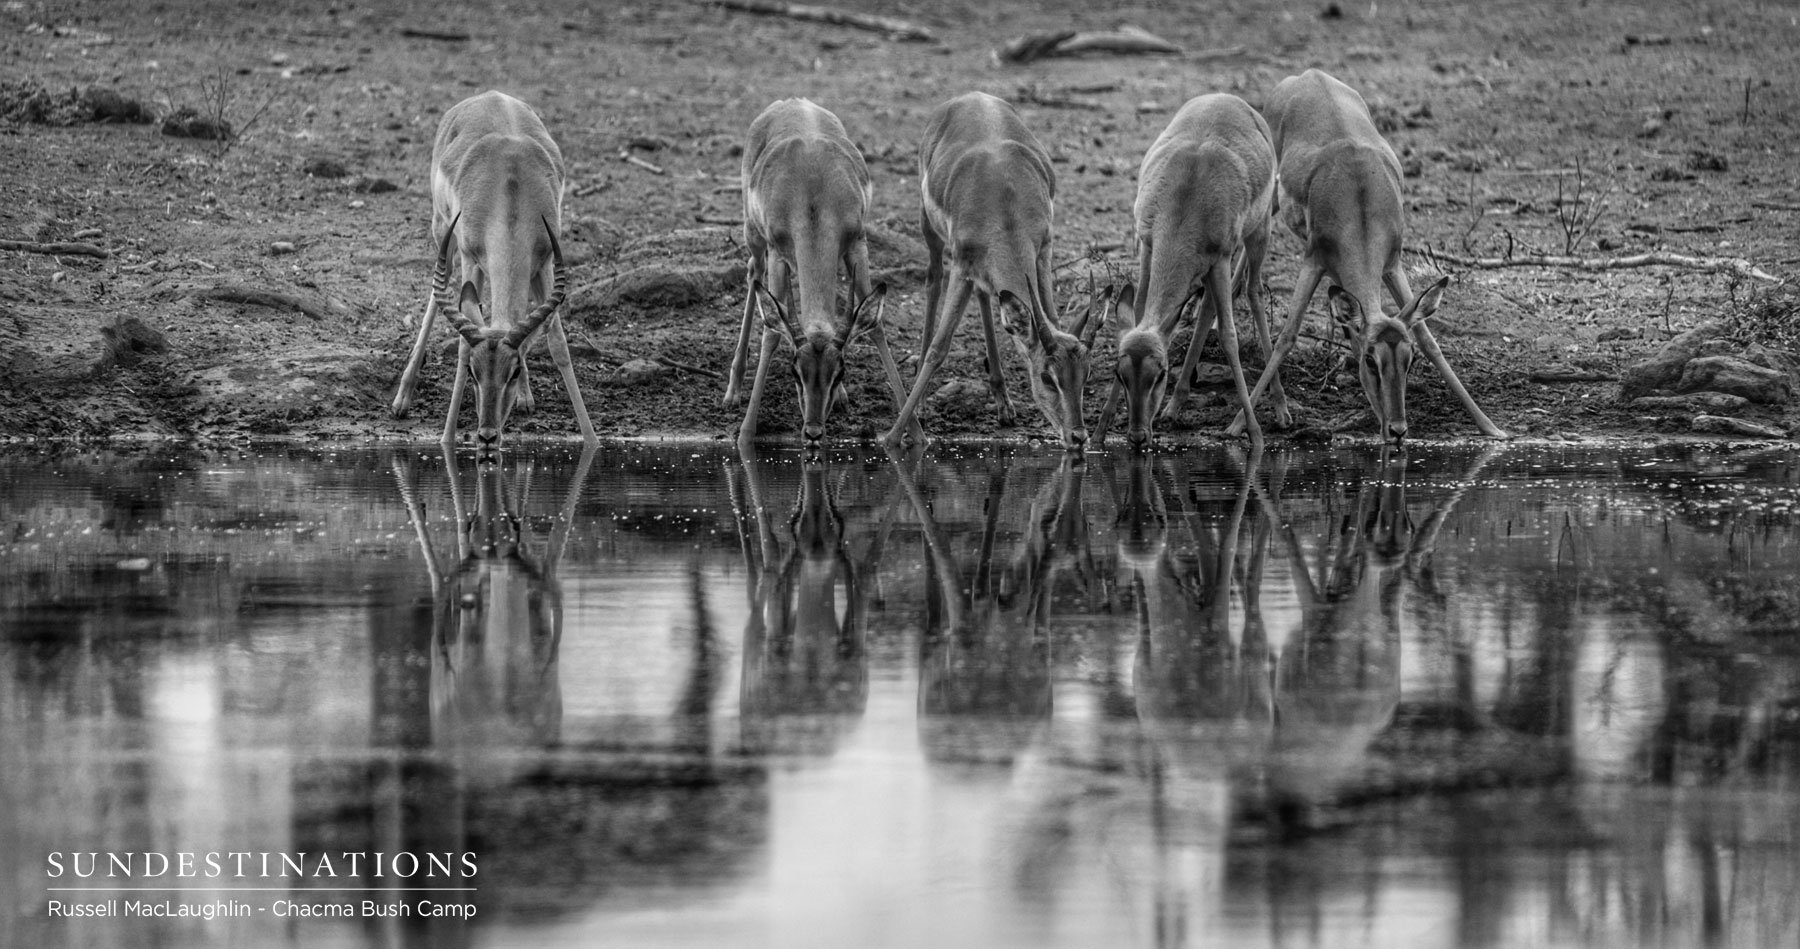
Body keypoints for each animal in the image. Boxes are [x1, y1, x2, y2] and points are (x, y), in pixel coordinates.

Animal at [390, 90, 596, 457]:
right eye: (473, 373)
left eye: (512, 372)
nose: (487, 436)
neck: (509, 192)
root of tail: (490, 95)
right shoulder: (471, 257)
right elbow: (461, 344)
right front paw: (446, 439)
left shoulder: (545, 261)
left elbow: (557, 344)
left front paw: (591, 439)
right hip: (443, 233)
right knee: (435, 293)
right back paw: (402, 398)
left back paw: (527, 399)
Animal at [725, 98, 911, 453]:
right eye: (795, 371)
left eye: (839, 371)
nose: (812, 433)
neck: (813, 197)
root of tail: (792, 101)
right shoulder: (778, 254)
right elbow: (772, 332)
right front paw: (745, 434)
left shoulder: (857, 244)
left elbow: (875, 324)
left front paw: (915, 433)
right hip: (754, 237)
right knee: (752, 277)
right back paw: (733, 391)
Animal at [883, 92, 1106, 452]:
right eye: (1047, 376)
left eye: (1086, 374)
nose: (1078, 436)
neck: (1004, 204)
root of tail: (970, 96)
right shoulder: (961, 265)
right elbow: (939, 348)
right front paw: (893, 438)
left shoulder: (1043, 251)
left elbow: (1049, 316)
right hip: (929, 227)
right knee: (933, 281)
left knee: (985, 294)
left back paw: (1003, 404)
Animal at [1096, 93, 1277, 449]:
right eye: (1119, 374)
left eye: (1160, 373)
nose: (1137, 436)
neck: (1186, 197)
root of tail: (1229, 98)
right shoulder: (1147, 247)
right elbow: (1139, 314)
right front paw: (1099, 431)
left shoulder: (1221, 258)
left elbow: (1229, 337)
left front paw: (1254, 434)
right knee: (1207, 308)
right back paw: (1174, 406)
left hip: (1257, 235)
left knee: (1253, 292)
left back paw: (1280, 408)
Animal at [1230, 69, 1506, 443]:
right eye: (1371, 360)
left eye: (1409, 360)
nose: (1398, 429)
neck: (1358, 200)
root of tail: (1306, 75)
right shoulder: (1313, 260)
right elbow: (1288, 336)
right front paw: (1235, 425)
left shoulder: (1392, 264)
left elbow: (1428, 338)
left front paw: (1491, 426)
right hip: (1269, 200)